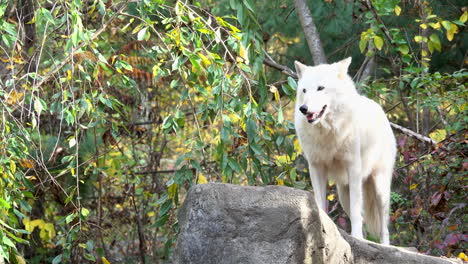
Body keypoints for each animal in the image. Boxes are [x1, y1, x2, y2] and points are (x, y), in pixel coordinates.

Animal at [294, 56, 396, 244]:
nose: (303, 109)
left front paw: (357, 238)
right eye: (304, 90)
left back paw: (383, 245)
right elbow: (320, 203)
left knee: (383, 227)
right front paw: (323, 228)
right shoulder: (316, 167)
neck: (328, 131)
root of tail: (379, 109)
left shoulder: (353, 167)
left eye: (320, 88)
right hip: (343, 194)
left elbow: (357, 212)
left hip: (380, 188)